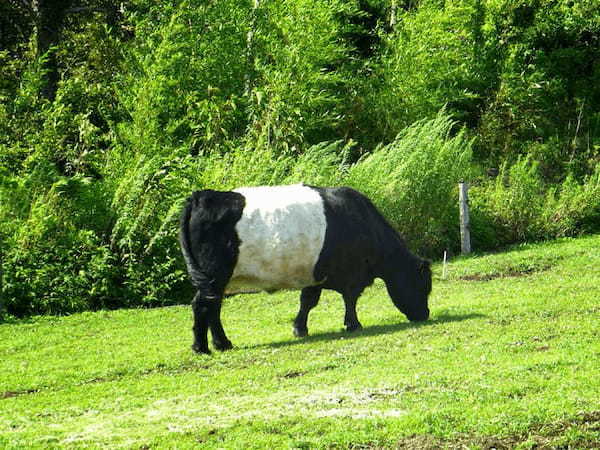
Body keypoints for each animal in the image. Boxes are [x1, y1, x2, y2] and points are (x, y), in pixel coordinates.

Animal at [178, 185, 432, 354]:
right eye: (424, 287)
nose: (425, 314)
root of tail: (202, 196)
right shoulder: (352, 276)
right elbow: (350, 300)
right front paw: (354, 325)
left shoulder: (314, 276)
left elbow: (308, 301)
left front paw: (300, 329)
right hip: (214, 275)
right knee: (203, 305)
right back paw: (203, 347)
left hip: (216, 280)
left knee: (212, 307)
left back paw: (222, 344)